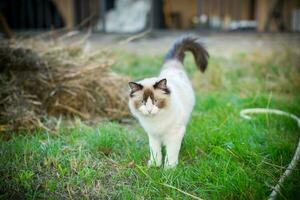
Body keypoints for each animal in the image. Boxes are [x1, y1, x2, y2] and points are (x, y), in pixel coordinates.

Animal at [127, 35, 209, 168]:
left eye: (155, 101)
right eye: (143, 102)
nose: (149, 110)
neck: (156, 120)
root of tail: (173, 65)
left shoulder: (174, 134)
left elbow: (171, 153)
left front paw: (169, 168)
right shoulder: (153, 135)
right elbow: (155, 151)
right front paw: (155, 165)